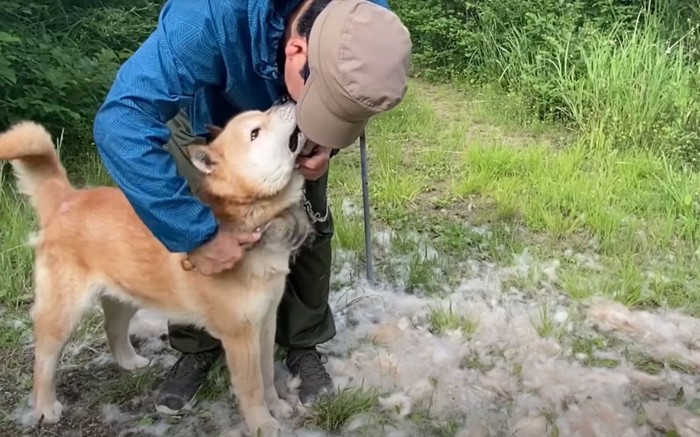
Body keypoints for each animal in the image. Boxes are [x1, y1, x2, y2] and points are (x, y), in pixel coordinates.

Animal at [0, 96, 312, 436]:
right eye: (255, 132)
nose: (284, 98)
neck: (252, 217)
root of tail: (67, 198)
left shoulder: (265, 323)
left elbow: (267, 376)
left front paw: (277, 407)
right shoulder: (240, 337)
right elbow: (253, 388)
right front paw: (262, 424)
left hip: (126, 295)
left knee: (112, 329)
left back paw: (130, 362)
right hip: (63, 314)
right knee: (44, 358)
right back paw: (45, 406)